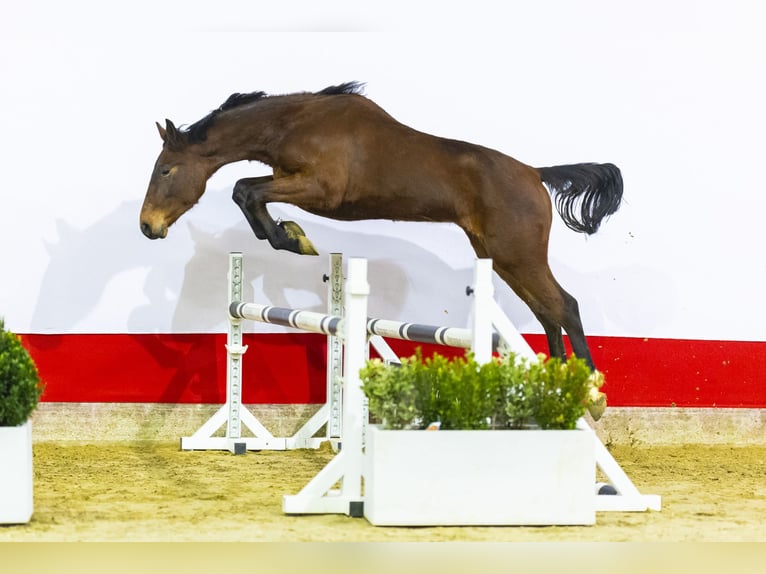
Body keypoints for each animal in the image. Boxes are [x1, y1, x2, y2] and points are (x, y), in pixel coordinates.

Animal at [141, 82, 624, 392]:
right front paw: (291, 236)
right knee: (547, 312)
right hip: (501, 257)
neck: (294, 124)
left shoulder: (321, 190)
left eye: (165, 170)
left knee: (564, 306)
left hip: (517, 254)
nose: (148, 226)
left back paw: (590, 391)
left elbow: (246, 190)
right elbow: (249, 191)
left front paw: (291, 238)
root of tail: (536, 174)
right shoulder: (290, 180)